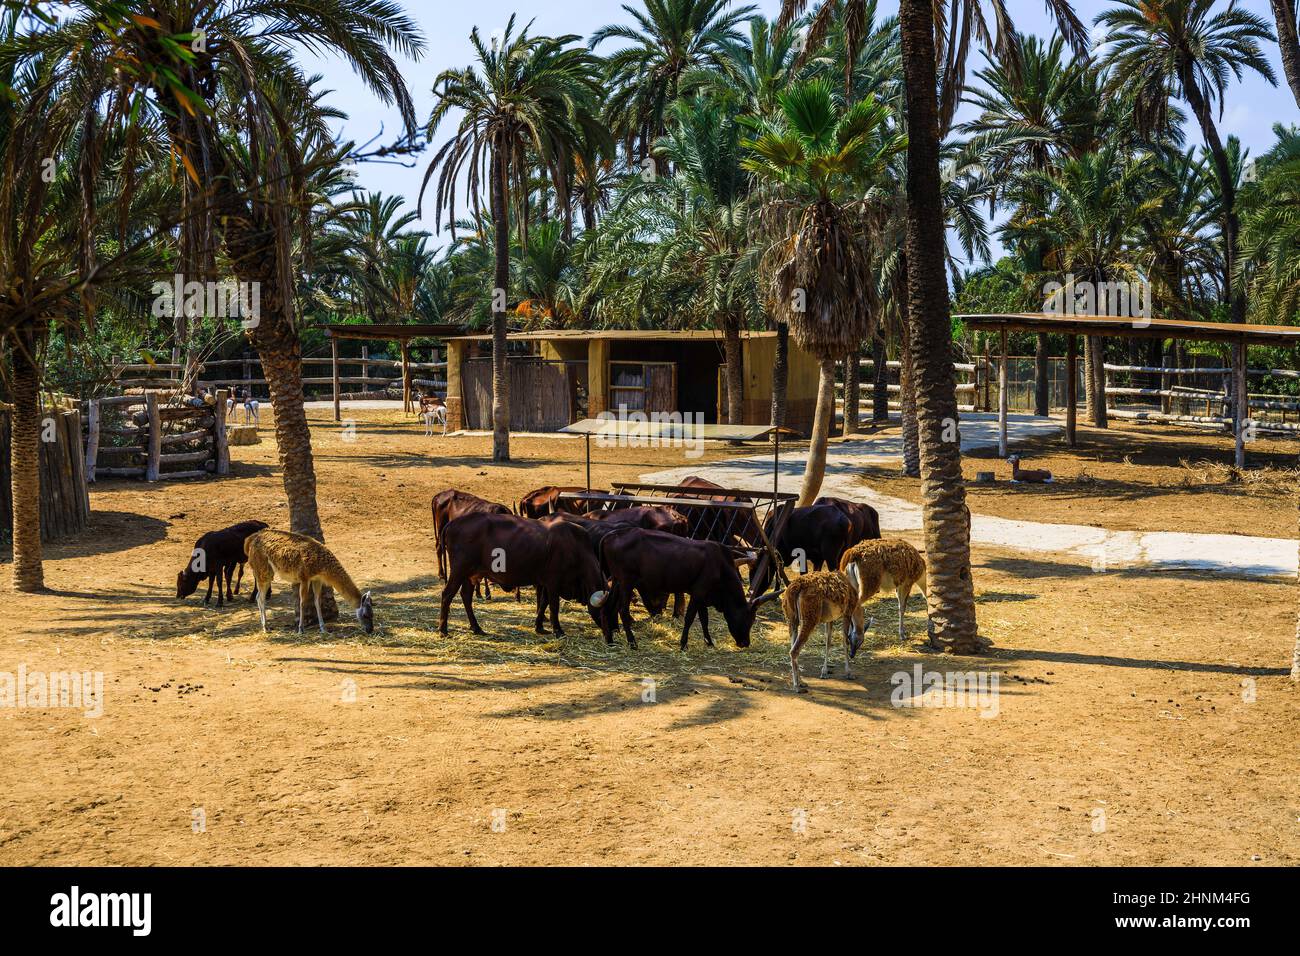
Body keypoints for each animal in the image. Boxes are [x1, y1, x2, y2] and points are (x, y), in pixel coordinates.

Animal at [243, 530, 371, 634]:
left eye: (372, 613)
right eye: (365, 615)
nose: (370, 630)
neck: (323, 566)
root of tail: (251, 538)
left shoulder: (317, 579)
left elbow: (317, 602)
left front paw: (323, 628)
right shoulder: (304, 577)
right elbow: (302, 602)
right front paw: (301, 629)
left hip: (267, 572)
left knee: (259, 596)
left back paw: (264, 625)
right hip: (262, 569)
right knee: (261, 598)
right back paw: (265, 627)